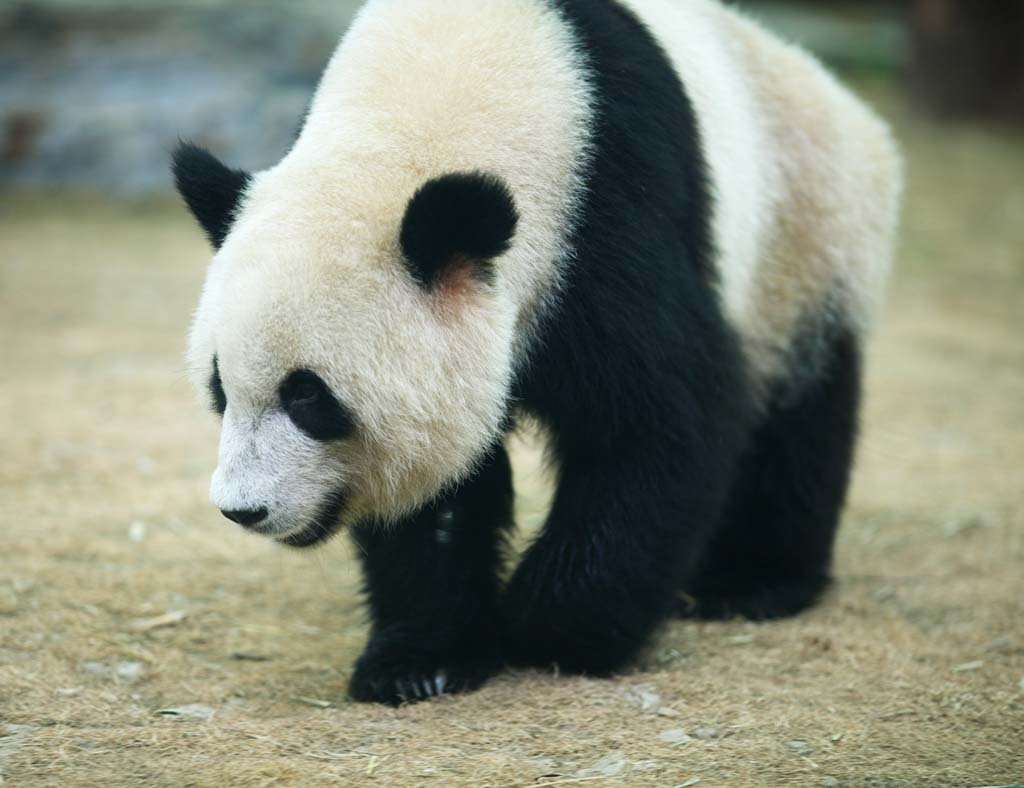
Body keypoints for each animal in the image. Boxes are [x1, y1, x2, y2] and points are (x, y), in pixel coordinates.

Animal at [172, 0, 901, 704]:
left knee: (801, 410)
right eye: (220, 390)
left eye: (309, 397)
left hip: (804, 237)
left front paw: (548, 625)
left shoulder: (608, 214)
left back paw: (751, 580)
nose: (243, 509)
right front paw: (421, 660)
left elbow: (659, 422)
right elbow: (439, 490)